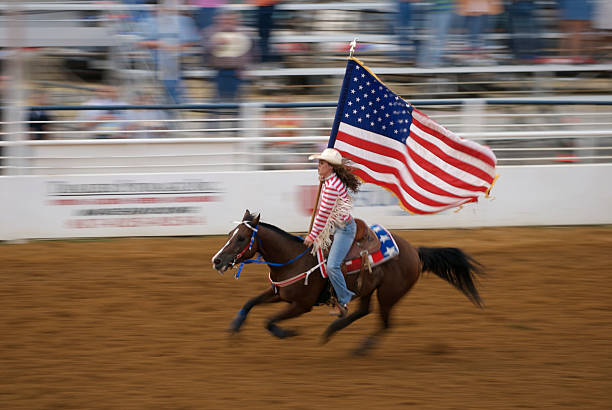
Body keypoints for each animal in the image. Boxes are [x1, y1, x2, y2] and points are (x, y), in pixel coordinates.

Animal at [210, 210, 482, 354]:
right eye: (230, 234)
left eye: (241, 238)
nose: (217, 260)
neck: (293, 259)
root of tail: (415, 251)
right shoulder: (278, 293)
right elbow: (250, 302)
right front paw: (235, 327)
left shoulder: (301, 305)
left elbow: (268, 321)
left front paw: (288, 332)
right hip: (368, 288)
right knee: (364, 311)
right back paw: (332, 330)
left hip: (389, 294)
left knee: (384, 323)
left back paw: (360, 348)